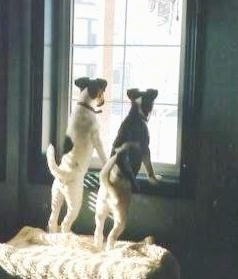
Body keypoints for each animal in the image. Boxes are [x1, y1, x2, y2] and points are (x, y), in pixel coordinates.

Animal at [46, 76, 107, 234]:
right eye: (101, 92)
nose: (103, 102)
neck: (84, 105)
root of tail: (63, 174)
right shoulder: (96, 138)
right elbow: (103, 154)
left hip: (56, 196)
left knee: (52, 221)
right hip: (75, 202)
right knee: (65, 223)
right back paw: (69, 236)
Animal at [94, 88, 161, 250]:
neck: (135, 114)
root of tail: (109, 185)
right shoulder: (146, 150)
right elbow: (150, 168)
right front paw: (155, 179)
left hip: (99, 211)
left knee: (98, 232)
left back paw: (98, 247)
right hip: (121, 217)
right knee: (111, 236)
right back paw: (111, 250)